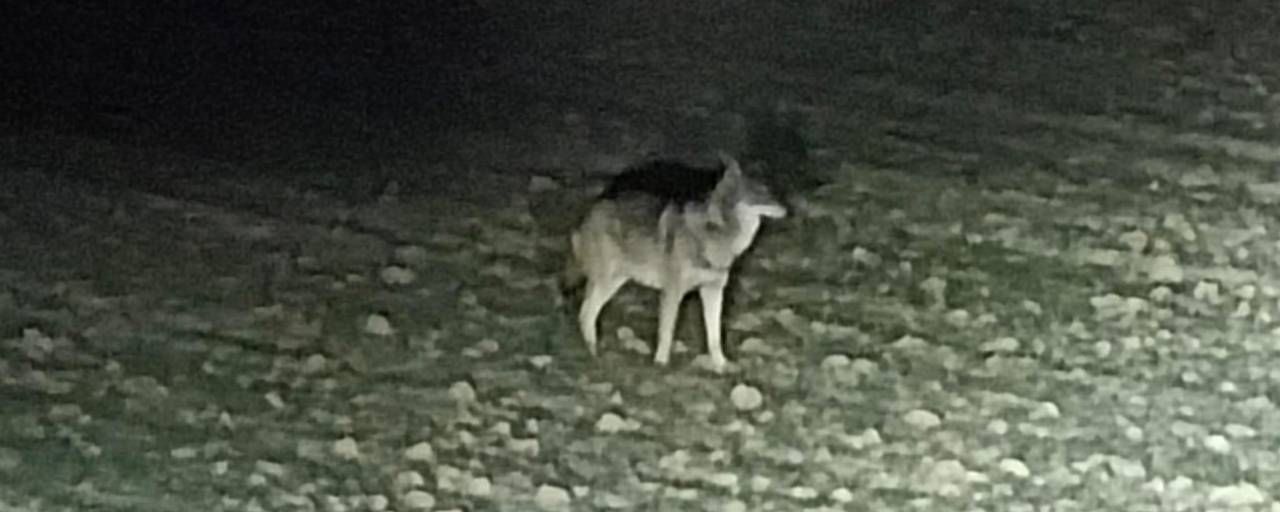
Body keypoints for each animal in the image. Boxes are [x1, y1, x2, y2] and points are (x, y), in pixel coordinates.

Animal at [565, 153, 787, 370]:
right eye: (759, 192)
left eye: (769, 191)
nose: (786, 210)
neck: (715, 229)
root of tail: (588, 214)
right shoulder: (672, 292)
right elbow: (666, 333)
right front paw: (661, 365)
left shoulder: (713, 291)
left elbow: (714, 337)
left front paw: (721, 366)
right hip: (606, 281)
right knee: (586, 313)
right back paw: (593, 356)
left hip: (615, 282)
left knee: (586, 313)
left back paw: (593, 354)